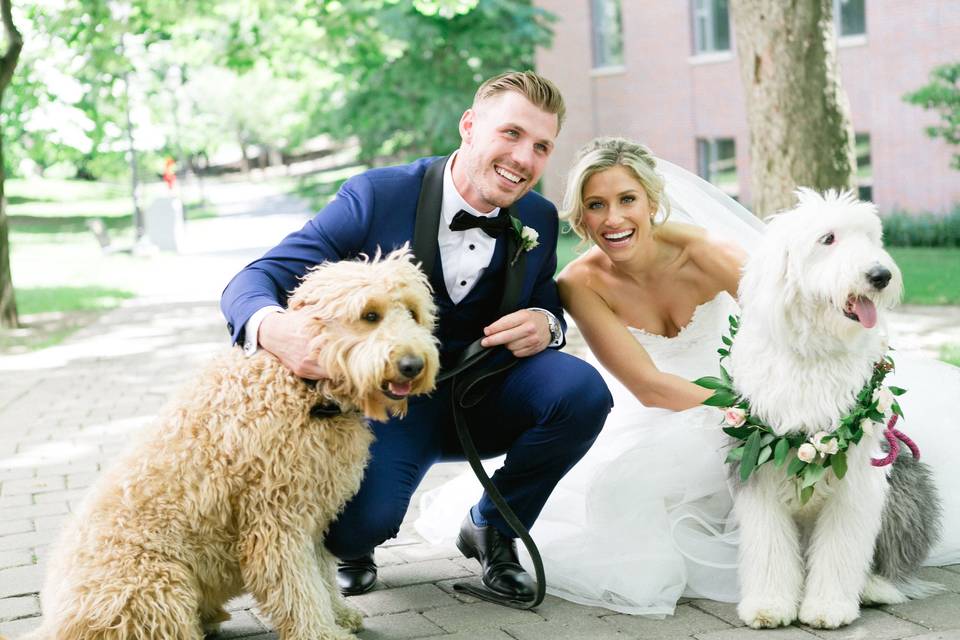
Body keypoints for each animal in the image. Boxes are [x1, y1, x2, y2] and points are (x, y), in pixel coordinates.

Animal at [20, 250, 438, 640]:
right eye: (370, 315)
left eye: (413, 313)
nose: (413, 365)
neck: (301, 387)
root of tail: (56, 624)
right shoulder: (275, 522)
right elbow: (298, 587)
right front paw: (320, 631)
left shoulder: (312, 515)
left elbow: (320, 573)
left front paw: (338, 614)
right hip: (158, 584)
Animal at [728, 190, 936, 632]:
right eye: (828, 239)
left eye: (871, 237)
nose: (880, 275)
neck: (815, 352)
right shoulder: (756, 460)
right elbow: (768, 544)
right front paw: (769, 605)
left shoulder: (858, 473)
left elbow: (843, 545)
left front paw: (828, 608)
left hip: (903, 481)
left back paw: (875, 587)